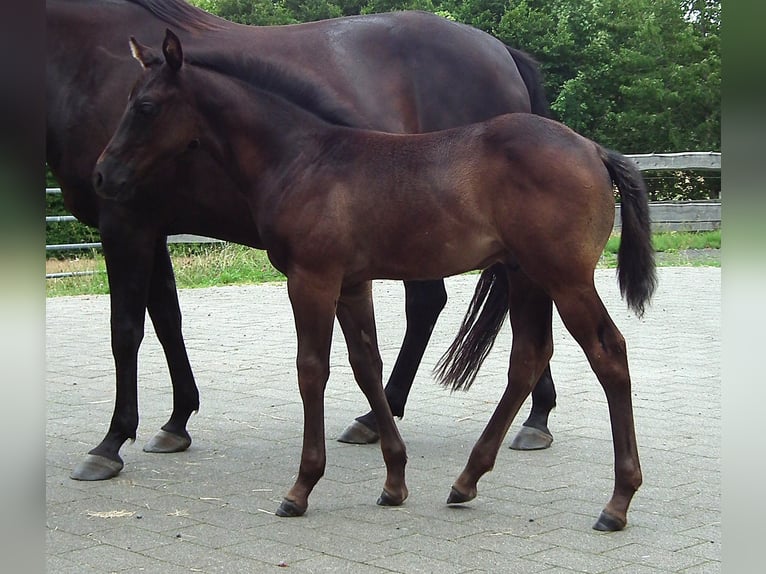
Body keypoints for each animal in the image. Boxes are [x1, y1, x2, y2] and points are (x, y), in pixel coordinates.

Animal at [47, 0, 559, 483]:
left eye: (146, 108)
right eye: (126, 100)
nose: (103, 175)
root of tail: (502, 52)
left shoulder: (130, 222)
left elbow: (129, 330)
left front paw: (110, 444)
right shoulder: (156, 229)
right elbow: (169, 319)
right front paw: (174, 423)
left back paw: (529, 420)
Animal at [93, 30, 656, 530]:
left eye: (146, 107)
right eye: (126, 101)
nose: (103, 175)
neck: (305, 159)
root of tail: (594, 150)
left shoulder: (312, 279)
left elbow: (311, 371)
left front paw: (301, 487)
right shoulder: (351, 283)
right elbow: (367, 365)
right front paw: (394, 481)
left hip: (566, 278)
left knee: (609, 353)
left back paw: (617, 502)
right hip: (527, 276)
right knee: (528, 357)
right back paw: (467, 480)